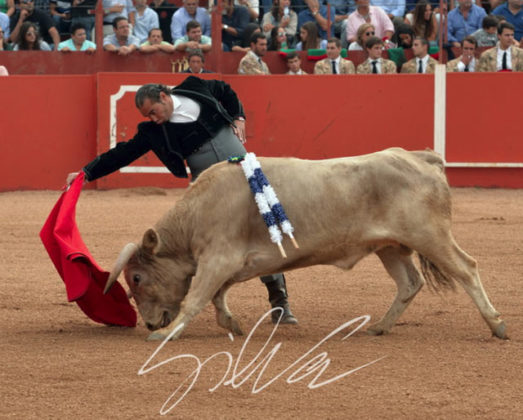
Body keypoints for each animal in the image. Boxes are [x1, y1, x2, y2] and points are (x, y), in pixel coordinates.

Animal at [105, 148, 508, 342]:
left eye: (137, 278)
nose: (148, 321)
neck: (197, 211)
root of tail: (422, 157)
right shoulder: (230, 264)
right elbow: (217, 295)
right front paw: (231, 323)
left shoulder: (219, 259)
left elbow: (197, 297)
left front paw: (165, 334)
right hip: (390, 246)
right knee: (409, 283)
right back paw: (379, 327)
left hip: (430, 236)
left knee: (467, 269)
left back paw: (497, 325)